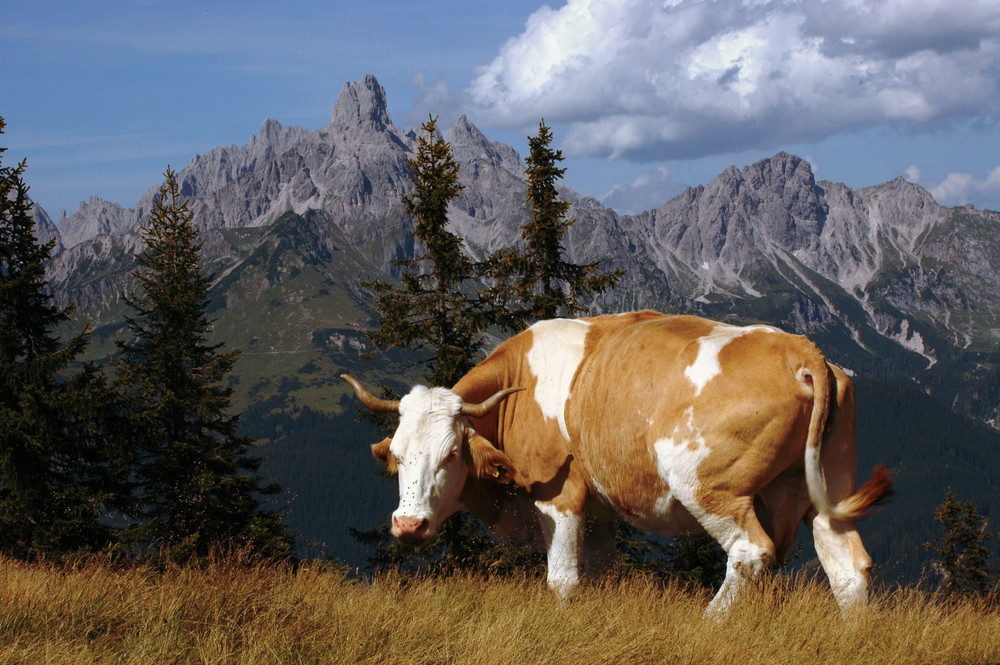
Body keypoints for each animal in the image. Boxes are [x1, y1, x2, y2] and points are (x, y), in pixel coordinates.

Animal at [344, 312, 892, 612]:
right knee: (848, 569)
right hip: (824, 488)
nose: (408, 525)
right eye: (396, 456)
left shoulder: (559, 497)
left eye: (452, 453)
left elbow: (563, 581)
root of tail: (801, 349)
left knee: (751, 552)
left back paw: (708, 626)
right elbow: (604, 577)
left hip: (706, 485)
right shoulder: (601, 513)